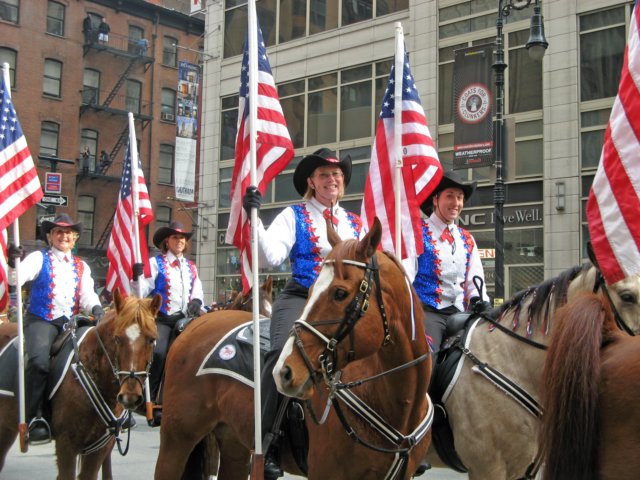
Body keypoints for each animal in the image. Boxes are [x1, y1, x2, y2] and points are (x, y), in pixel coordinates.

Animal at [156, 221, 436, 480]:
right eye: (310, 290)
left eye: (340, 292)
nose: (285, 372)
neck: (395, 403)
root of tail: (196, 323)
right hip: (176, 440)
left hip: (233, 444)